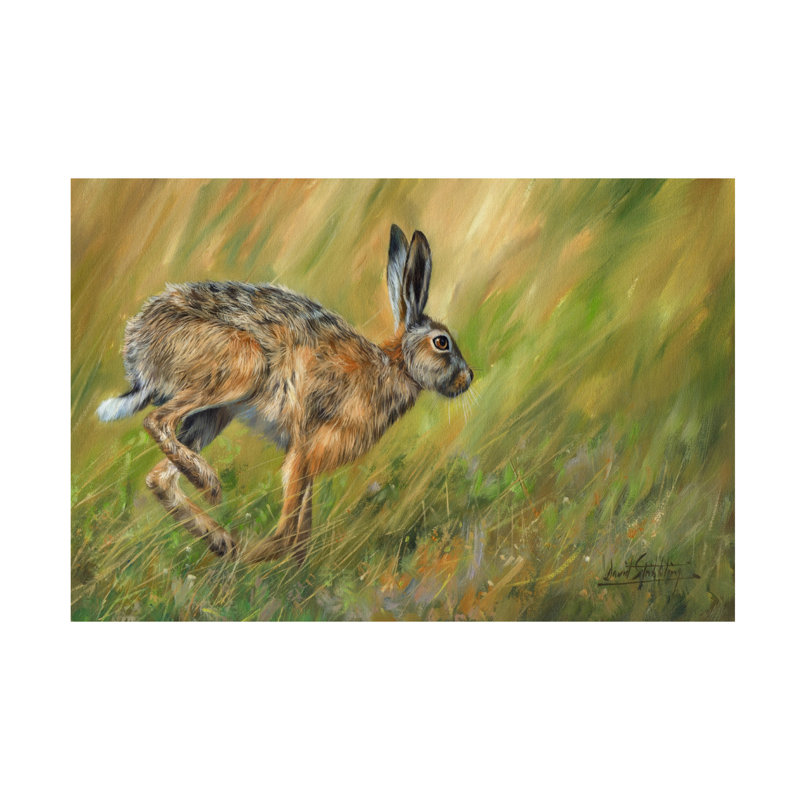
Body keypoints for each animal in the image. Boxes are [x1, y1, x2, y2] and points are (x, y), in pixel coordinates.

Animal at [96, 225, 473, 564]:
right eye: (442, 342)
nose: (468, 379)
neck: (394, 368)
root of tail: (139, 351)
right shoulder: (304, 451)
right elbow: (289, 530)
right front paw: (256, 562)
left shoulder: (308, 459)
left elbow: (302, 529)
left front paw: (294, 576)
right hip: (240, 365)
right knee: (156, 421)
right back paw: (211, 490)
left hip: (216, 413)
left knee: (158, 477)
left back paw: (221, 541)